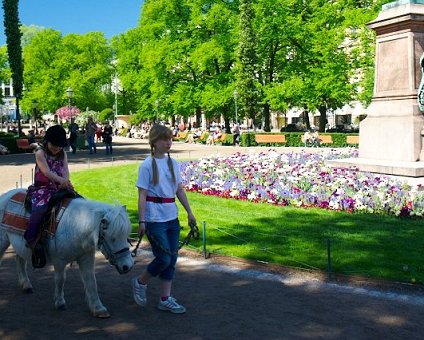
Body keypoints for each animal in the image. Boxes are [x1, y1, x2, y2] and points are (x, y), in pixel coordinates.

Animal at [0, 189, 134, 318]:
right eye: (112, 238)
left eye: (126, 236)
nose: (127, 266)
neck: (76, 224)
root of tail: (6, 195)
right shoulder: (59, 260)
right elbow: (60, 279)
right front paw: (60, 302)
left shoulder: (86, 258)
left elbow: (91, 281)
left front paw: (98, 308)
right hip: (3, 241)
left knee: (20, 260)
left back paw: (26, 285)